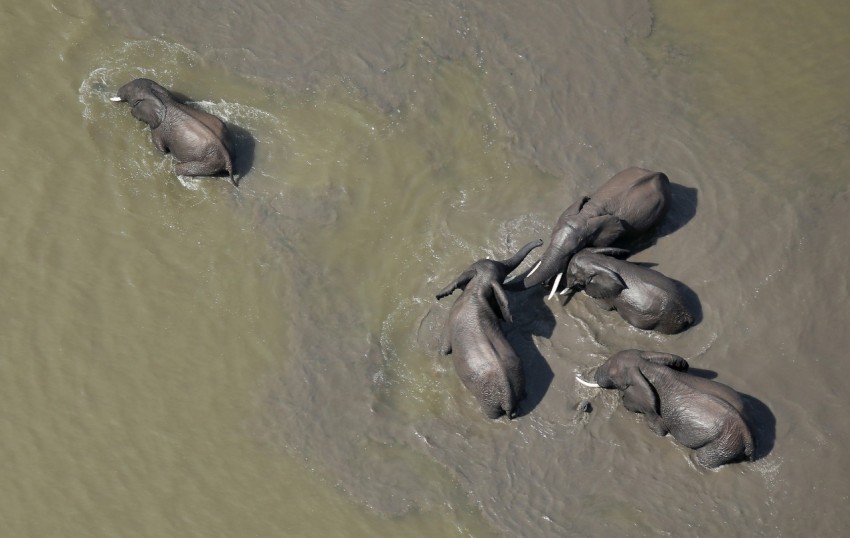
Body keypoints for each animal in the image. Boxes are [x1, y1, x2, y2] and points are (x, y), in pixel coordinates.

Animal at [436, 239, 543, 419]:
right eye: (503, 276)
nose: (541, 241)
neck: (479, 287)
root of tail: (508, 397)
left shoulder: (451, 319)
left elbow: (444, 349)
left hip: (488, 400)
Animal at [561, 247, 695, 334]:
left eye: (572, 273)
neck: (602, 261)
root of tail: (688, 315)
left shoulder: (607, 295)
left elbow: (604, 307)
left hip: (665, 322)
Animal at [577, 349, 755, 468]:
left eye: (613, 375)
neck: (646, 366)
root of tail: (748, 437)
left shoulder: (653, 412)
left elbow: (658, 429)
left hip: (724, 443)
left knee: (703, 458)